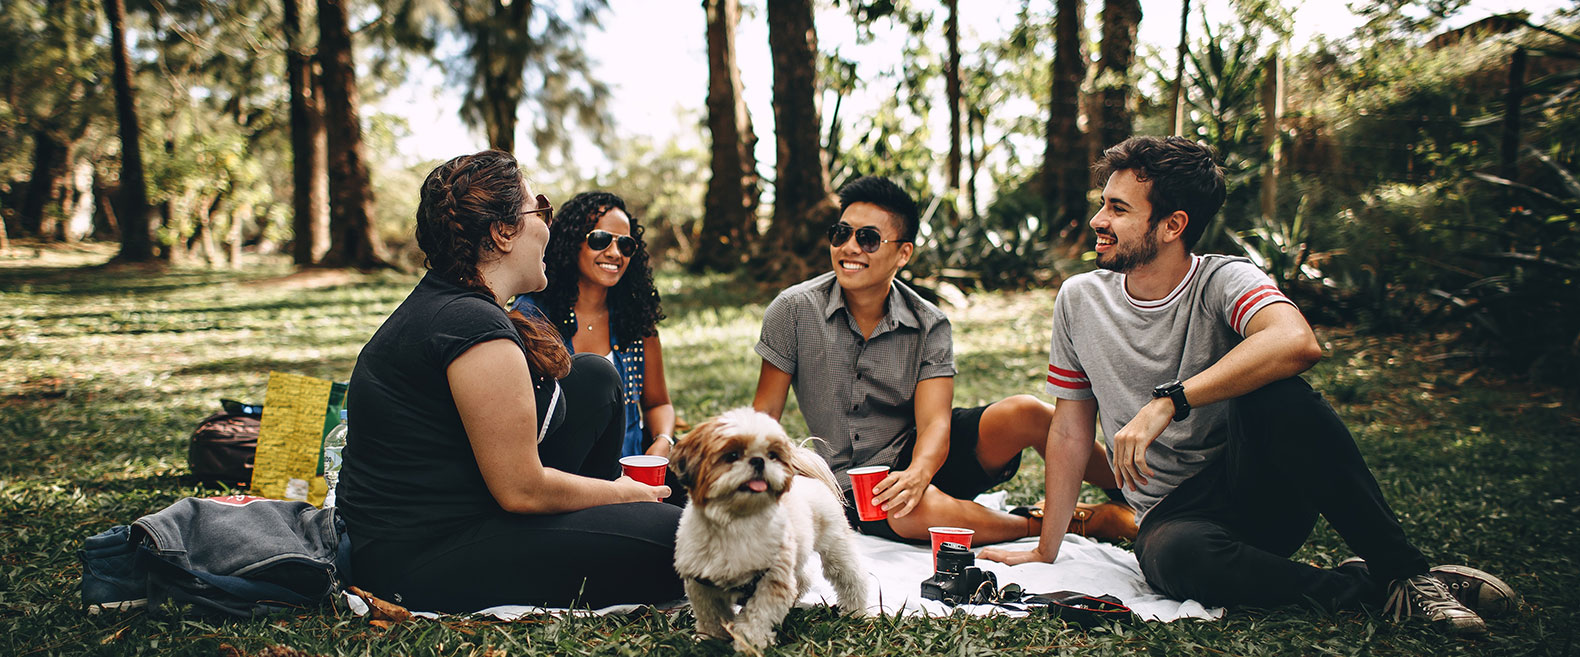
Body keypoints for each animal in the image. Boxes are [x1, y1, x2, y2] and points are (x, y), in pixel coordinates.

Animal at [666, 407, 865, 650]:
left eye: (772, 455)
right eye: (732, 455)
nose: (759, 461)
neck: (736, 522)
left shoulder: (771, 580)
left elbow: (757, 616)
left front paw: (749, 643)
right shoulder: (702, 583)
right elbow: (710, 615)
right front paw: (710, 639)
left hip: (835, 546)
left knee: (851, 577)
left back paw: (856, 611)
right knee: (802, 578)